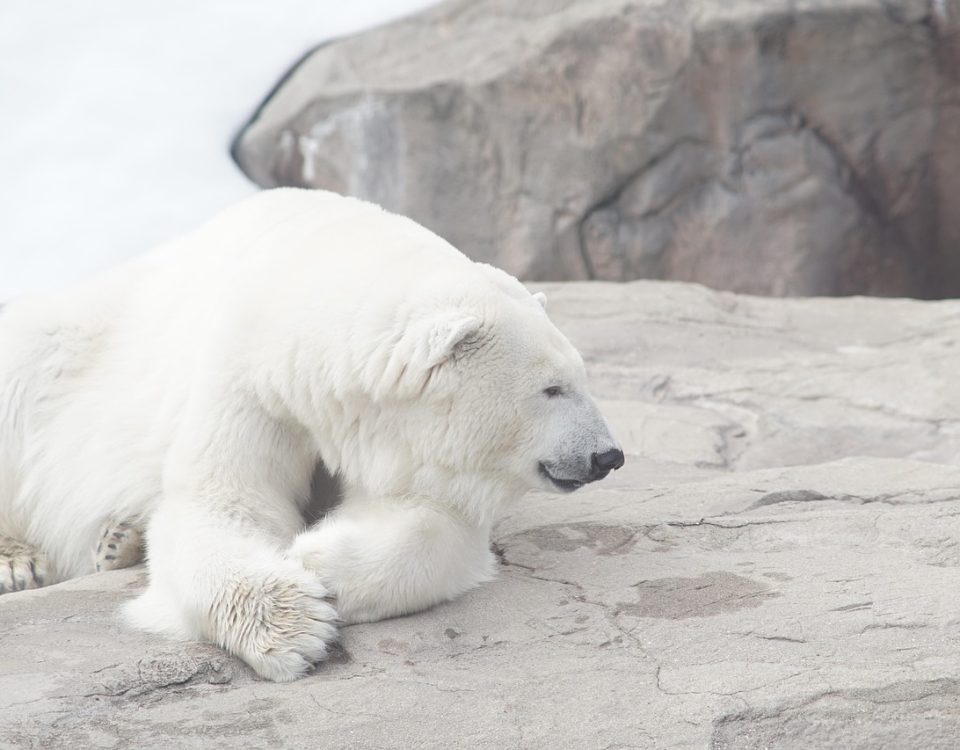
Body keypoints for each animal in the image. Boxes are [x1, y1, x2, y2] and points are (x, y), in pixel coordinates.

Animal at [0, 189, 623, 680]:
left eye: (582, 377)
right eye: (552, 389)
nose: (608, 455)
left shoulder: (397, 441)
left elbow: (433, 521)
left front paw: (317, 560)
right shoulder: (251, 379)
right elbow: (222, 502)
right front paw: (293, 624)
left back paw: (118, 540)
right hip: (58, 344)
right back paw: (20, 559)